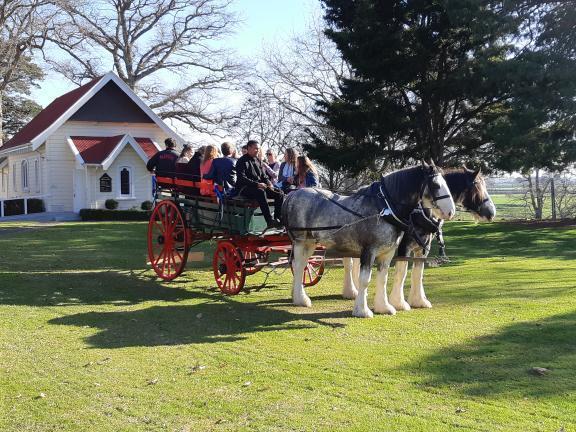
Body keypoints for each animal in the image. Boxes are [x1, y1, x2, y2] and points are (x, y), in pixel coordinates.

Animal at [282, 162, 454, 318]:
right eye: (436, 185)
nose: (451, 212)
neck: (384, 208)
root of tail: (292, 194)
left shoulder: (388, 252)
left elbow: (383, 278)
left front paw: (384, 307)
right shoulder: (369, 251)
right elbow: (365, 280)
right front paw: (362, 311)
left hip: (310, 243)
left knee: (301, 265)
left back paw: (298, 296)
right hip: (300, 241)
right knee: (299, 266)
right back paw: (301, 299)